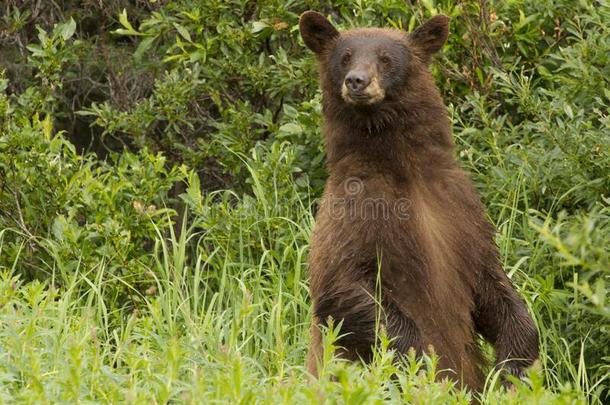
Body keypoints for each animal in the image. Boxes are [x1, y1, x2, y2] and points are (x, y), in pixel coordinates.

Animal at [300, 11, 536, 392]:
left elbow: (491, 280)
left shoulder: (461, 208)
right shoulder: (353, 208)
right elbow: (341, 283)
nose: (357, 81)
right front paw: (420, 359)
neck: (403, 168)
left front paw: (512, 365)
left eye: (386, 57)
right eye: (345, 56)